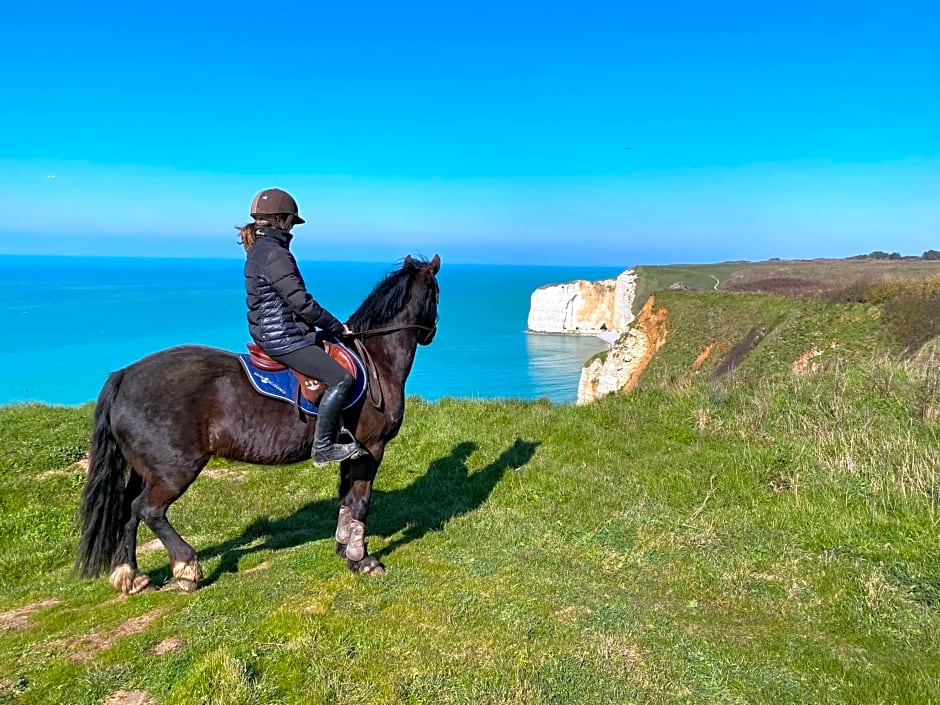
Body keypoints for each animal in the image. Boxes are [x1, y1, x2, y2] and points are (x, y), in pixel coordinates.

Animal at [76, 254, 440, 592]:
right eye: (436, 293)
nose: (432, 333)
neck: (376, 359)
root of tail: (125, 376)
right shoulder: (372, 448)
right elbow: (360, 502)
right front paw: (361, 560)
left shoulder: (352, 452)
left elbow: (346, 500)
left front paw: (343, 548)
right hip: (174, 469)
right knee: (148, 509)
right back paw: (187, 567)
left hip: (145, 468)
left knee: (128, 510)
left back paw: (130, 576)